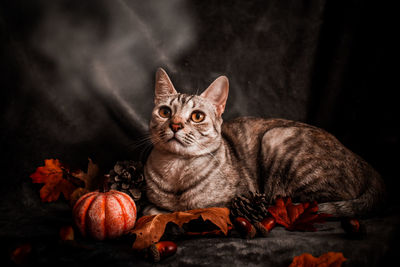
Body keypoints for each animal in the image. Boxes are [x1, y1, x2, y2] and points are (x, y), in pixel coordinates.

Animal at [143, 68, 384, 219]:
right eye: (165, 112)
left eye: (197, 117)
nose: (175, 125)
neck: (176, 170)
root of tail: (362, 160)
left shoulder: (230, 200)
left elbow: (185, 210)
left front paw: (165, 211)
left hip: (276, 138)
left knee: (316, 204)